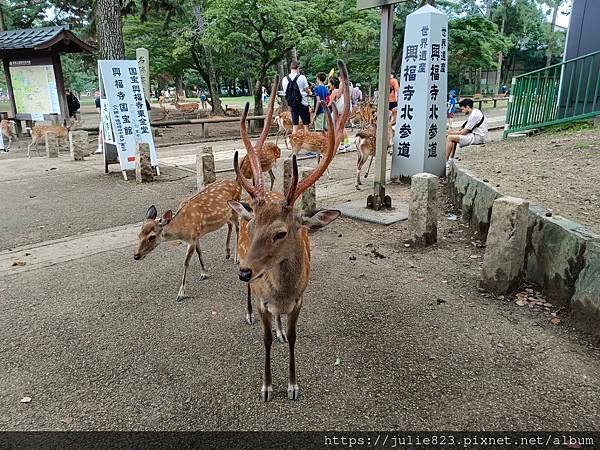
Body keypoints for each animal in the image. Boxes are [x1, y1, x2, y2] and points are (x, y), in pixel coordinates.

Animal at [229, 59, 352, 400]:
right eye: (253, 225)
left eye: (281, 232)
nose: (244, 271)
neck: (282, 292)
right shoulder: (262, 298)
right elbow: (265, 338)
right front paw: (267, 386)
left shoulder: (300, 300)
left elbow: (295, 335)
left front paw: (293, 385)